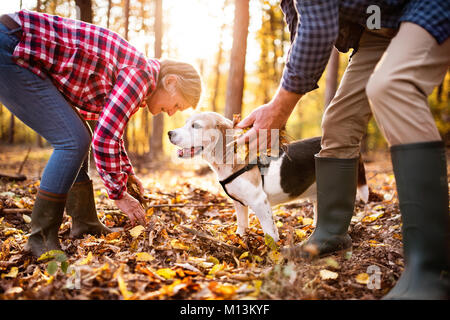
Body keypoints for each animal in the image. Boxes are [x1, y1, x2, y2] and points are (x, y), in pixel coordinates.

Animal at [167, 111, 368, 241]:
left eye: (195, 126)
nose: (169, 133)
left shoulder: (259, 201)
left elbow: (269, 232)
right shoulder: (239, 204)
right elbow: (242, 224)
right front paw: (240, 241)